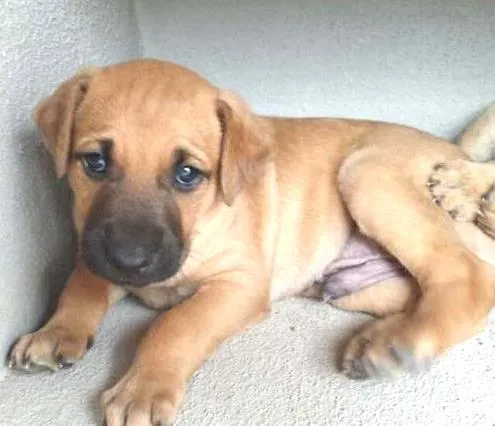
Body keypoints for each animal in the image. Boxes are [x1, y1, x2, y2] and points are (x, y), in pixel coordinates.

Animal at [7, 59, 495, 425]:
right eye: (94, 162)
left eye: (187, 174)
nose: (130, 260)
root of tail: (460, 157)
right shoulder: (92, 248)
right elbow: (80, 286)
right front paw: (55, 331)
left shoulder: (239, 284)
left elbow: (175, 325)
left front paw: (141, 389)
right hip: (361, 288)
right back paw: (380, 337)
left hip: (368, 174)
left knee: (468, 278)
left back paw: (397, 343)